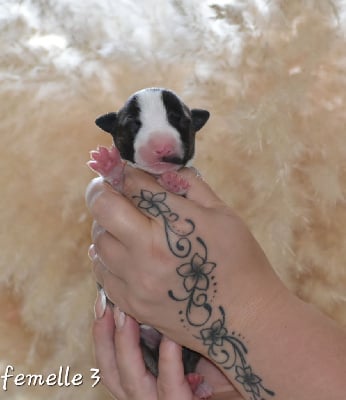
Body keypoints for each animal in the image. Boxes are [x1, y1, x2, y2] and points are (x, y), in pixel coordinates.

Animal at [88, 87, 211, 396]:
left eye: (178, 118)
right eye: (134, 123)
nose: (162, 147)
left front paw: (174, 183)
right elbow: (118, 182)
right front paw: (111, 167)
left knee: (187, 360)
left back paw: (196, 385)